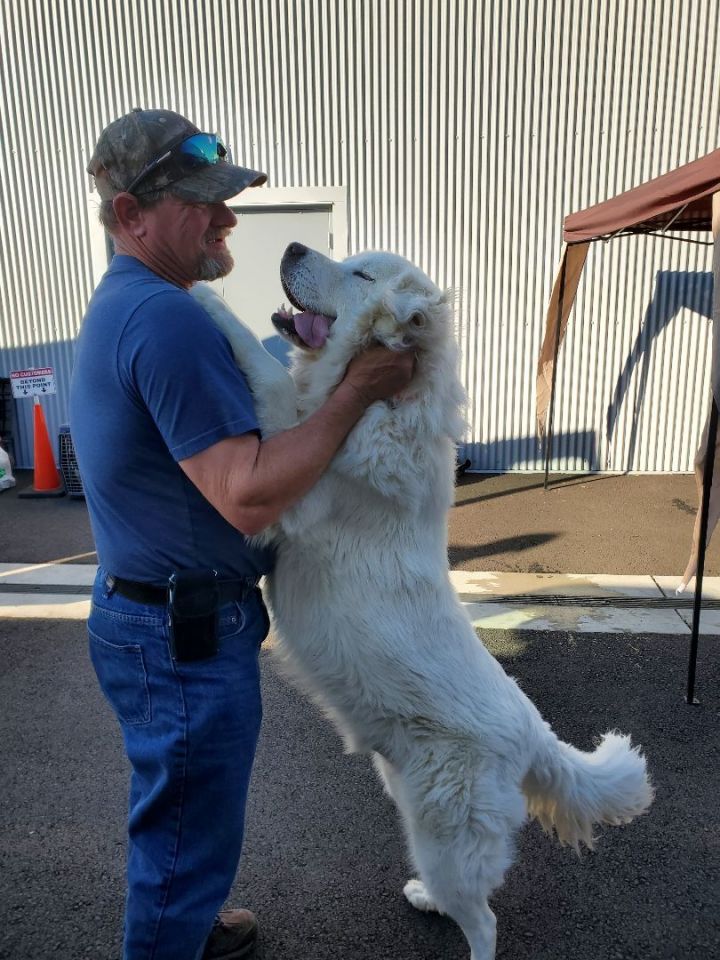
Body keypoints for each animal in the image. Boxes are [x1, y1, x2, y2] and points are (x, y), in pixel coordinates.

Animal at [190, 246, 652, 960]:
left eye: (360, 275)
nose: (291, 249)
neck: (385, 398)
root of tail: (534, 732)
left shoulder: (290, 472)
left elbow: (265, 373)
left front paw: (203, 297)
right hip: (415, 804)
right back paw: (424, 898)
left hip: (444, 835)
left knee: (484, 920)